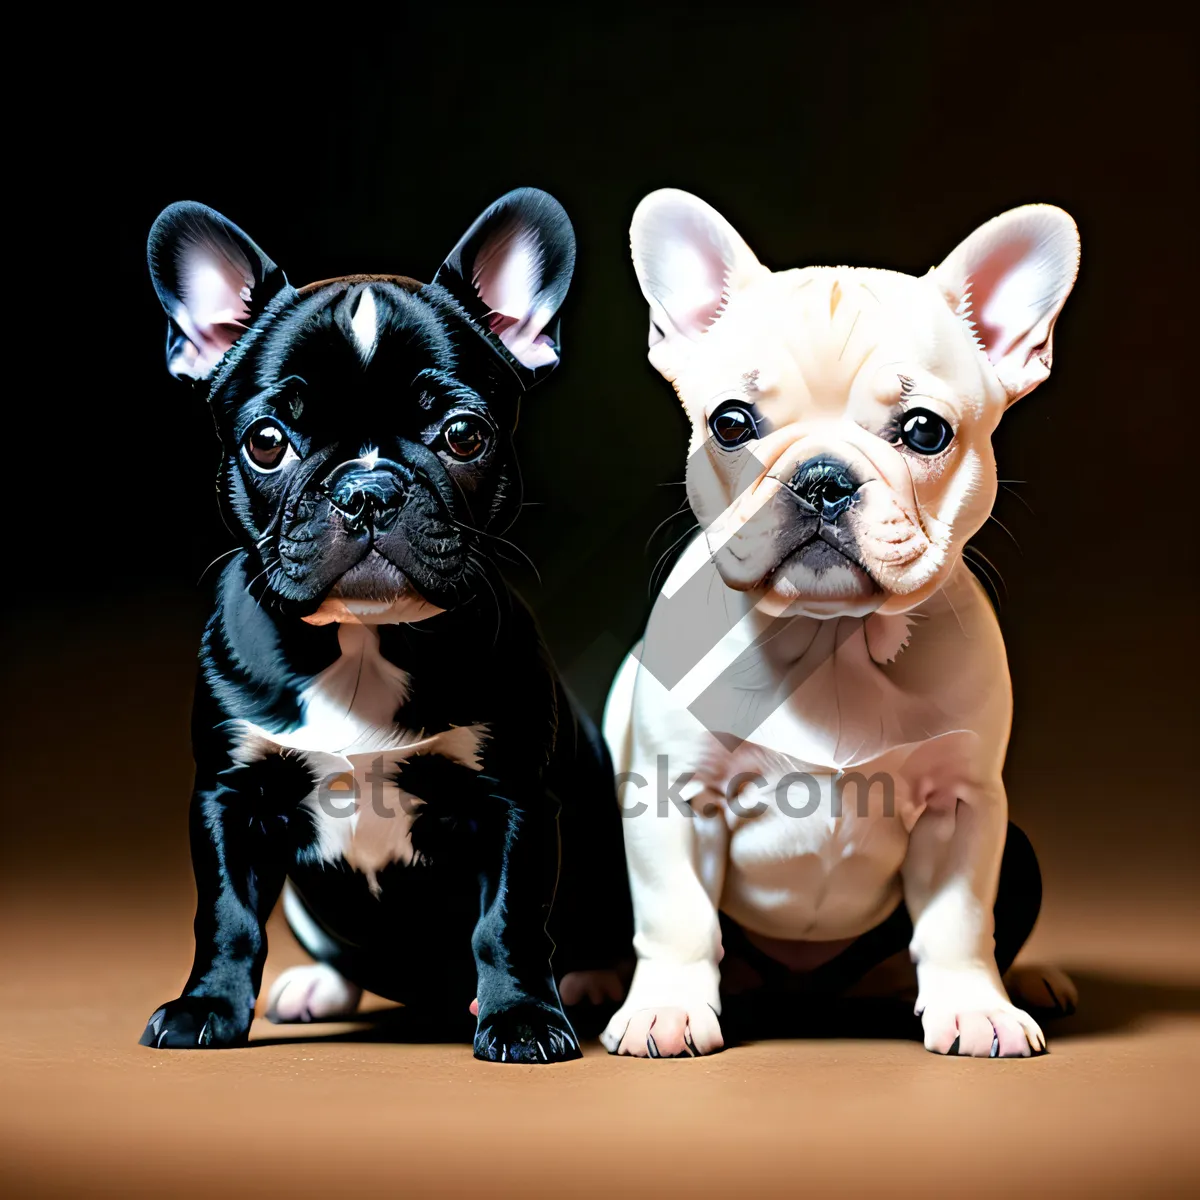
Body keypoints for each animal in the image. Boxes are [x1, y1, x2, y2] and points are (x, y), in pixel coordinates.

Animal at [137, 192, 633, 1065]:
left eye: (464, 435)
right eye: (267, 442)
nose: (366, 488)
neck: (362, 644)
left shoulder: (513, 803)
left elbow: (508, 922)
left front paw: (522, 1018)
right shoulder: (229, 797)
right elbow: (226, 918)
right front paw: (207, 1008)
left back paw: (588, 983)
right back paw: (318, 987)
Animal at [600, 194, 1080, 1060]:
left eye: (925, 431)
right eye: (730, 424)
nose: (822, 478)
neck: (831, 638)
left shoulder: (964, 807)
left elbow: (960, 921)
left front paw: (976, 1008)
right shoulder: (672, 799)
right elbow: (676, 914)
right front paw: (667, 1010)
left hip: (1019, 851)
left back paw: (1029, 981)